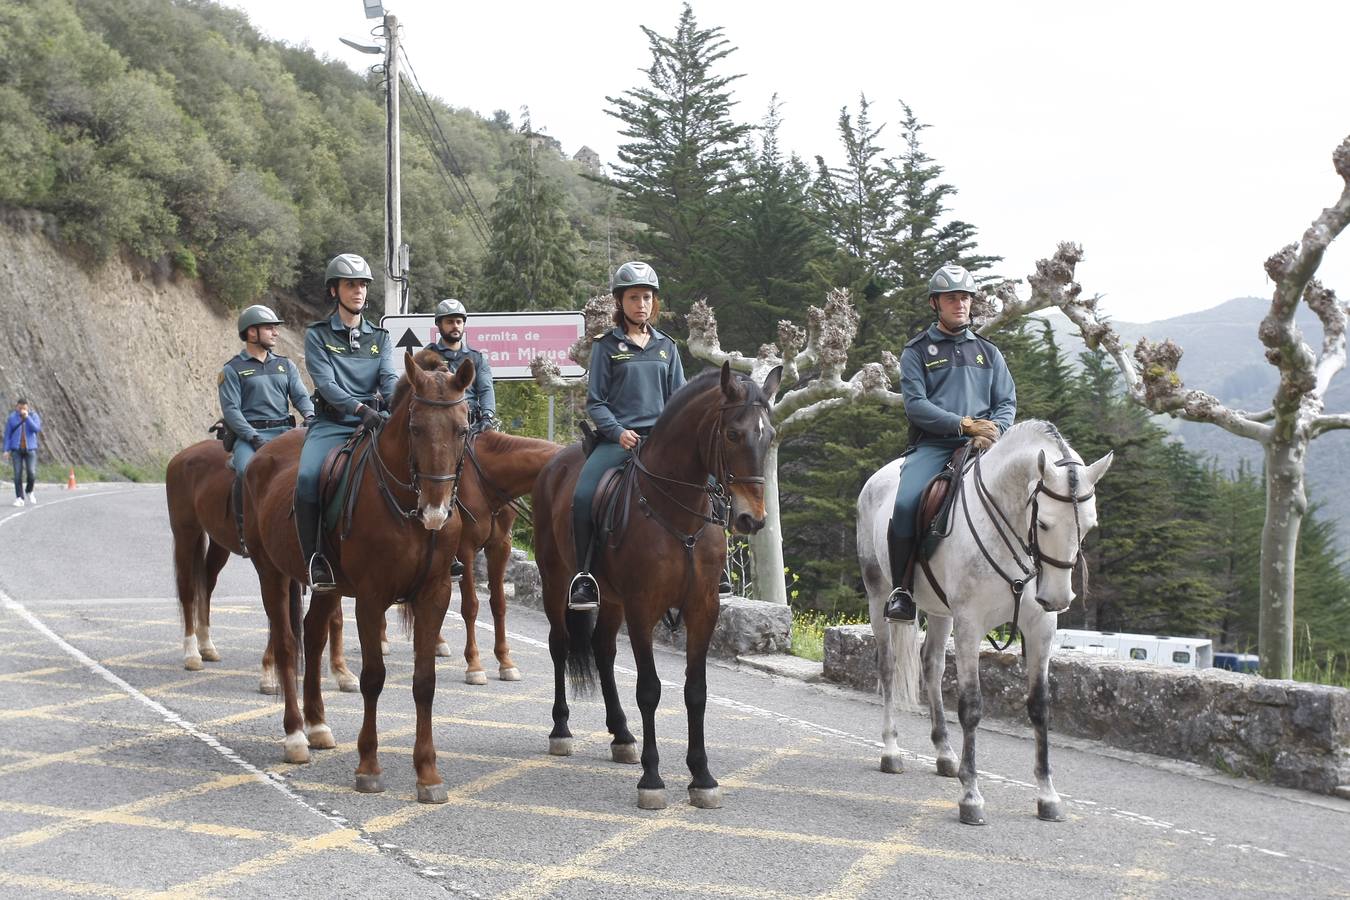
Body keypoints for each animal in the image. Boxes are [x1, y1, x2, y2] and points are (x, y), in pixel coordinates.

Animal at [164, 439, 359, 696]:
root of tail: (181, 456)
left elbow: (333, 616)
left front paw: (341, 671)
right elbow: (280, 614)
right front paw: (270, 672)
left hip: (218, 544)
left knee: (206, 584)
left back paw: (206, 645)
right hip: (186, 533)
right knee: (187, 590)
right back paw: (192, 653)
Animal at [245, 350, 472, 804]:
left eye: (462, 428)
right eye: (416, 428)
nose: (436, 510)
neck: (407, 509)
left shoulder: (434, 595)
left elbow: (425, 682)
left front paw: (428, 774)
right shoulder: (370, 598)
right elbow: (373, 678)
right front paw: (369, 766)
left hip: (326, 587)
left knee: (313, 635)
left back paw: (317, 726)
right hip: (271, 573)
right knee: (286, 644)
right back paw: (295, 736)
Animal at [526, 361, 783, 814]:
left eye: (768, 435)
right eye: (733, 434)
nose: (752, 519)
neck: (679, 513)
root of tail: (557, 460)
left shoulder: (703, 608)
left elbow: (696, 691)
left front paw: (702, 777)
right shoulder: (642, 608)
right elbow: (649, 689)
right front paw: (652, 780)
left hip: (611, 598)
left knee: (603, 651)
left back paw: (622, 735)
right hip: (557, 580)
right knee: (560, 645)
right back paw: (561, 731)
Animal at [858, 418, 1112, 825]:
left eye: (1089, 525)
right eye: (1044, 523)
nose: (1057, 598)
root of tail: (877, 478)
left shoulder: (1040, 629)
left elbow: (1040, 706)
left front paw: (1047, 796)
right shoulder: (970, 625)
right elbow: (972, 706)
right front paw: (971, 796)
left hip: (940, 612)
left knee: (931, 666)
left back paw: (945, 754)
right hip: (879, 594)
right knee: (888, 667)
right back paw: (891, 751)